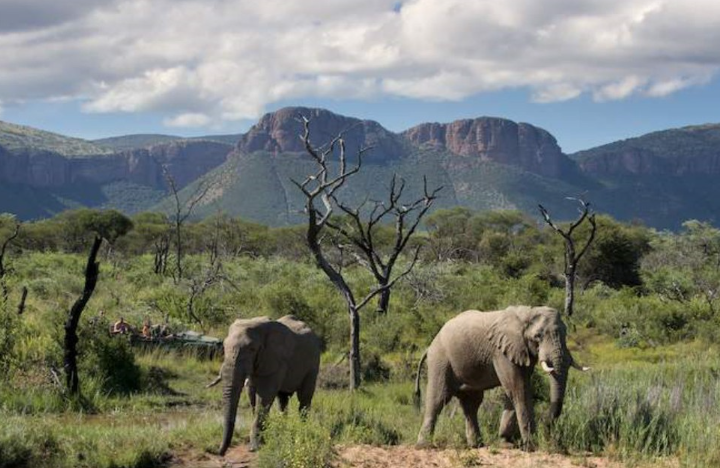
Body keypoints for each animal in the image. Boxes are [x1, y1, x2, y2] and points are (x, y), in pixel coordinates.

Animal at [218, 314, 322, 454]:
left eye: (252, 349)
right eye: (224, 346)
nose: (220, 452)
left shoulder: (276, 360)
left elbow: (264, 396)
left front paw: (254, 447)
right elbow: (252, 395)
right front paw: (264, 440)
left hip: (313, 363)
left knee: (304, 398)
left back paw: (302, 431)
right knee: (282, 399)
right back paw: (282, 431)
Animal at [414, 306, 588, 448]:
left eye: (566, 334)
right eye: (538, 336)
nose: (546, 422)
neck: (527, 312)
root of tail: (430, 346)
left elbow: (517, 389)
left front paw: (506, 442)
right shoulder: (501, 352)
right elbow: (518, 389)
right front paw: (531, 445)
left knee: (471, 403)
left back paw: (476, 445)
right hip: (441, 360)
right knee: (438, 398)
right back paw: (424, 445)